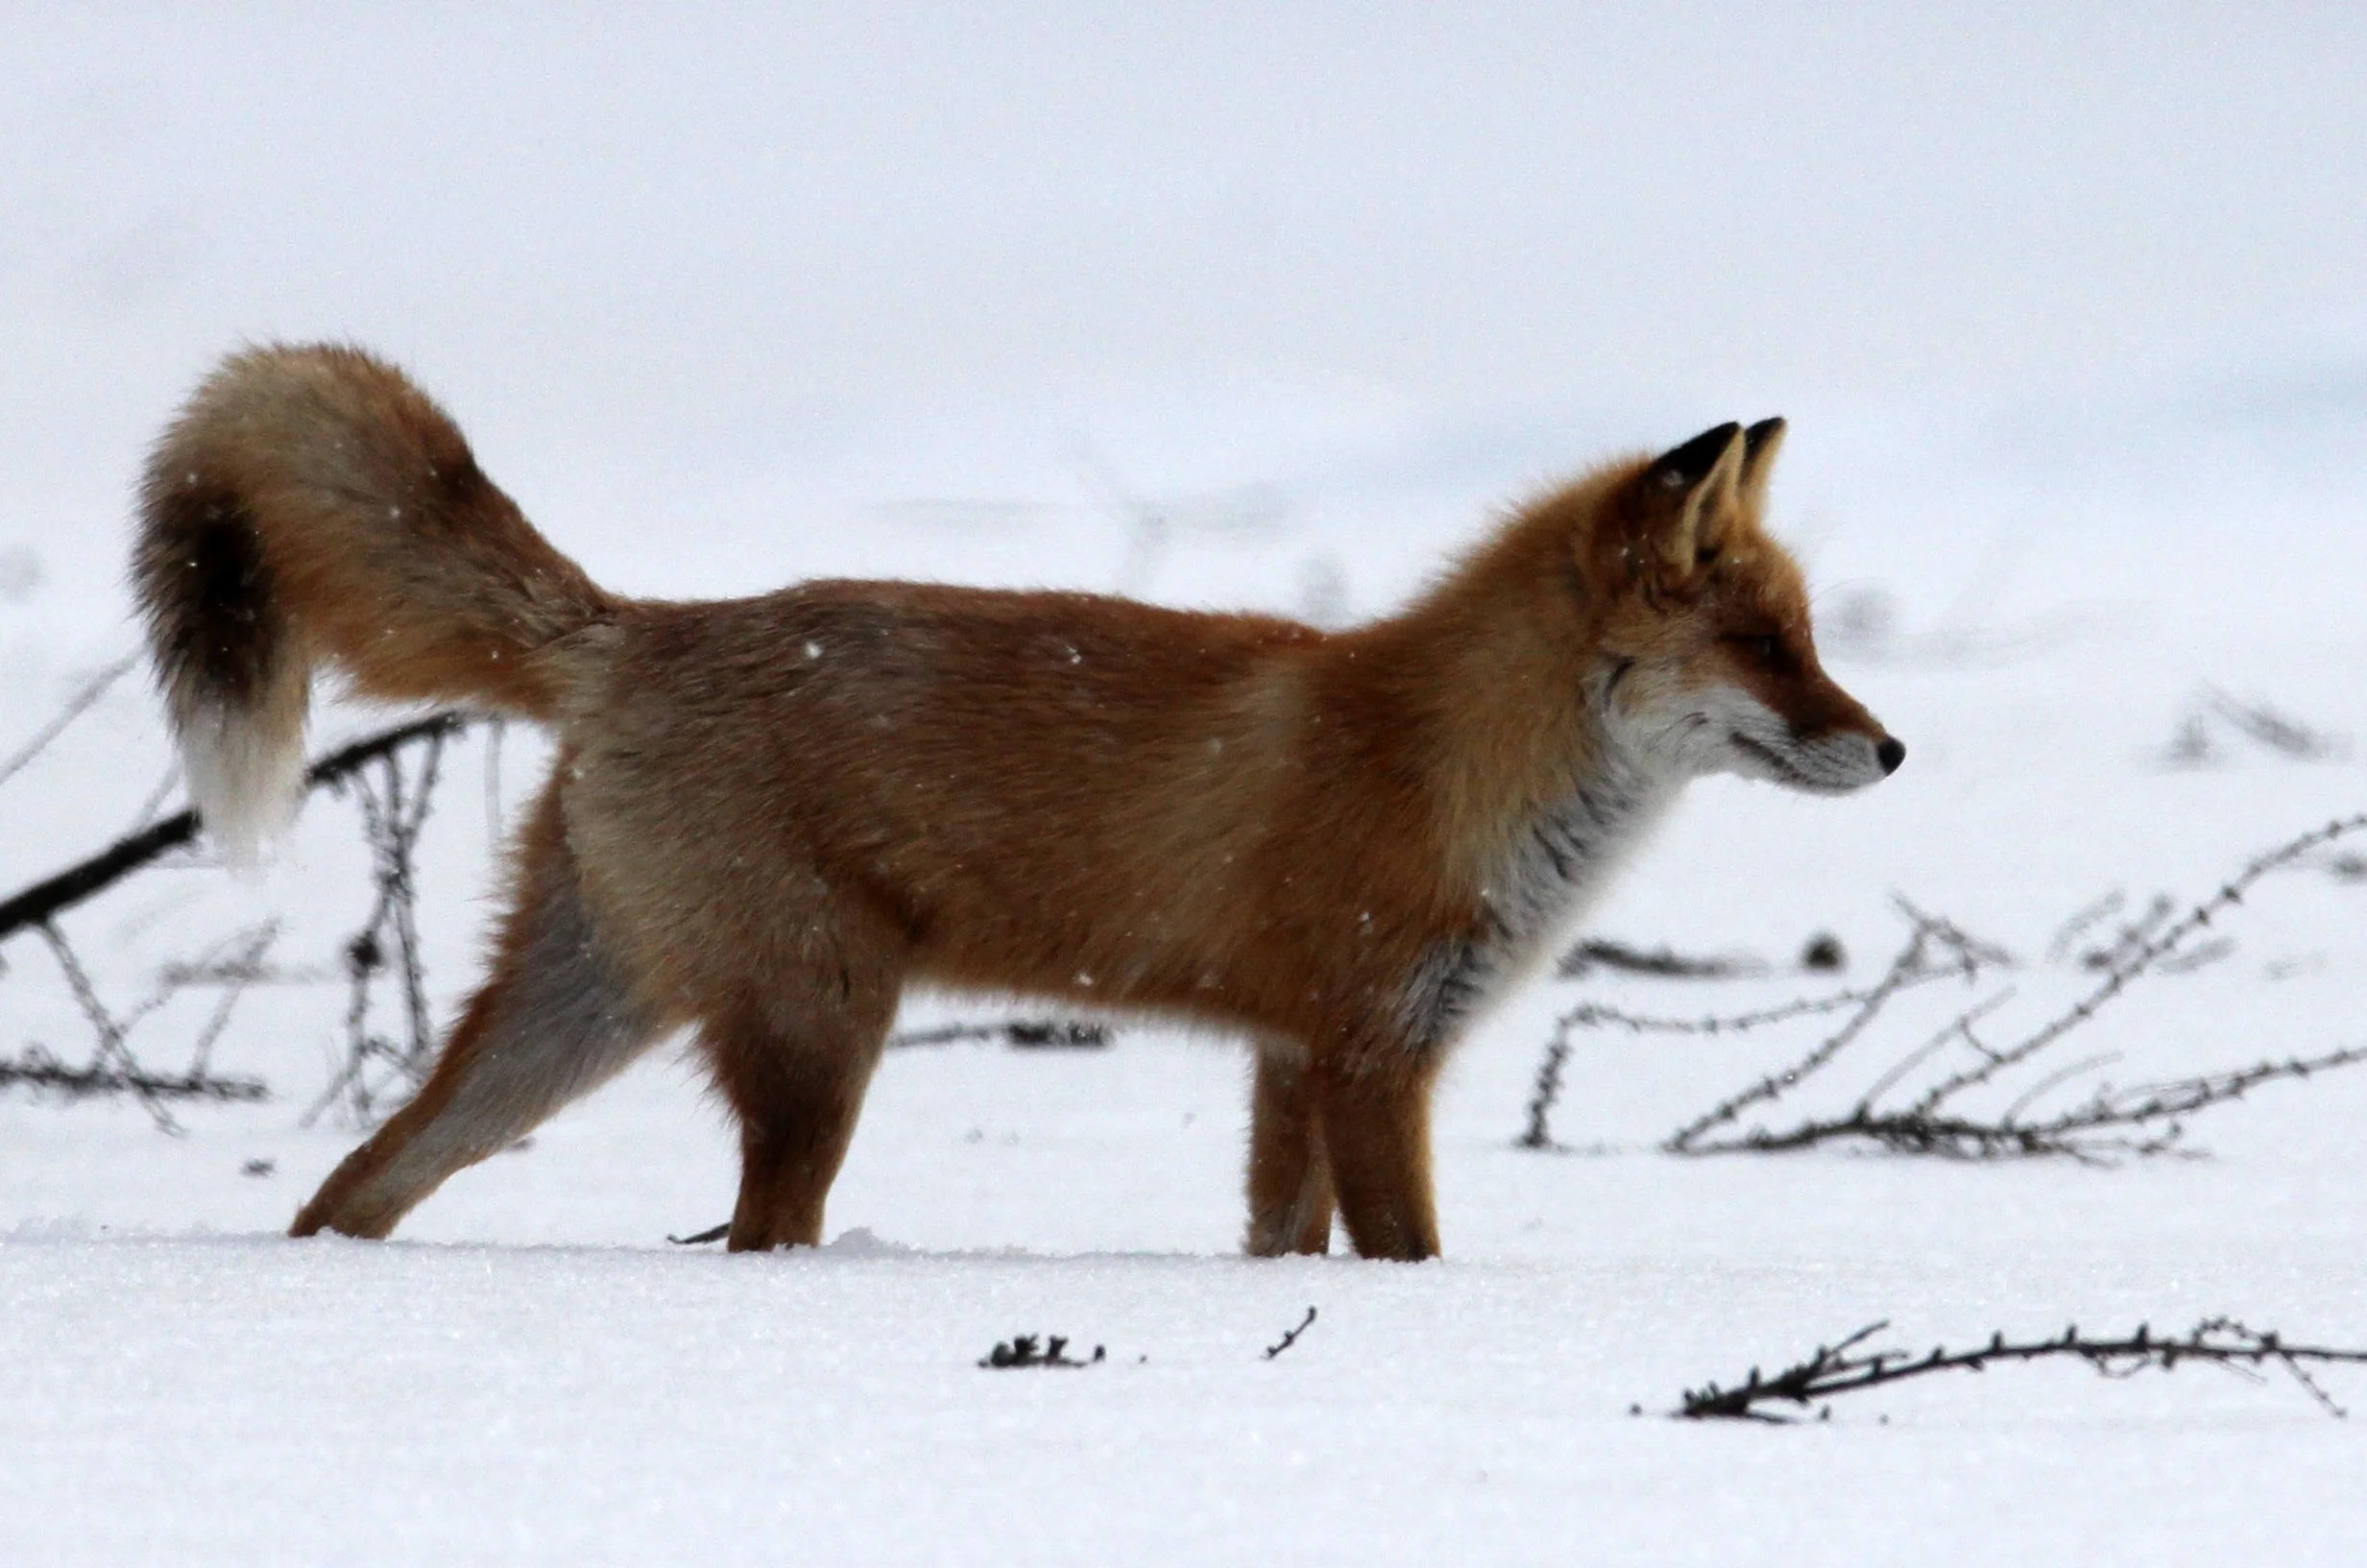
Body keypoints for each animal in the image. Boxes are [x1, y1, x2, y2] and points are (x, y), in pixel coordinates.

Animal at [132, 343, 1900, 1261]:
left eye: (1812, 638)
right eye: (1765, 647)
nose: (1890, 754)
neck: (1453, 760)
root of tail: (636, 627)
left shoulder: (1288, 1060)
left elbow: (1280, 1240)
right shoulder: (1369, 1050)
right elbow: (1406, 1249)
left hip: (582, 1011)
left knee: (358, 1183)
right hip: (818, 1032)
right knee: (757, 1227)